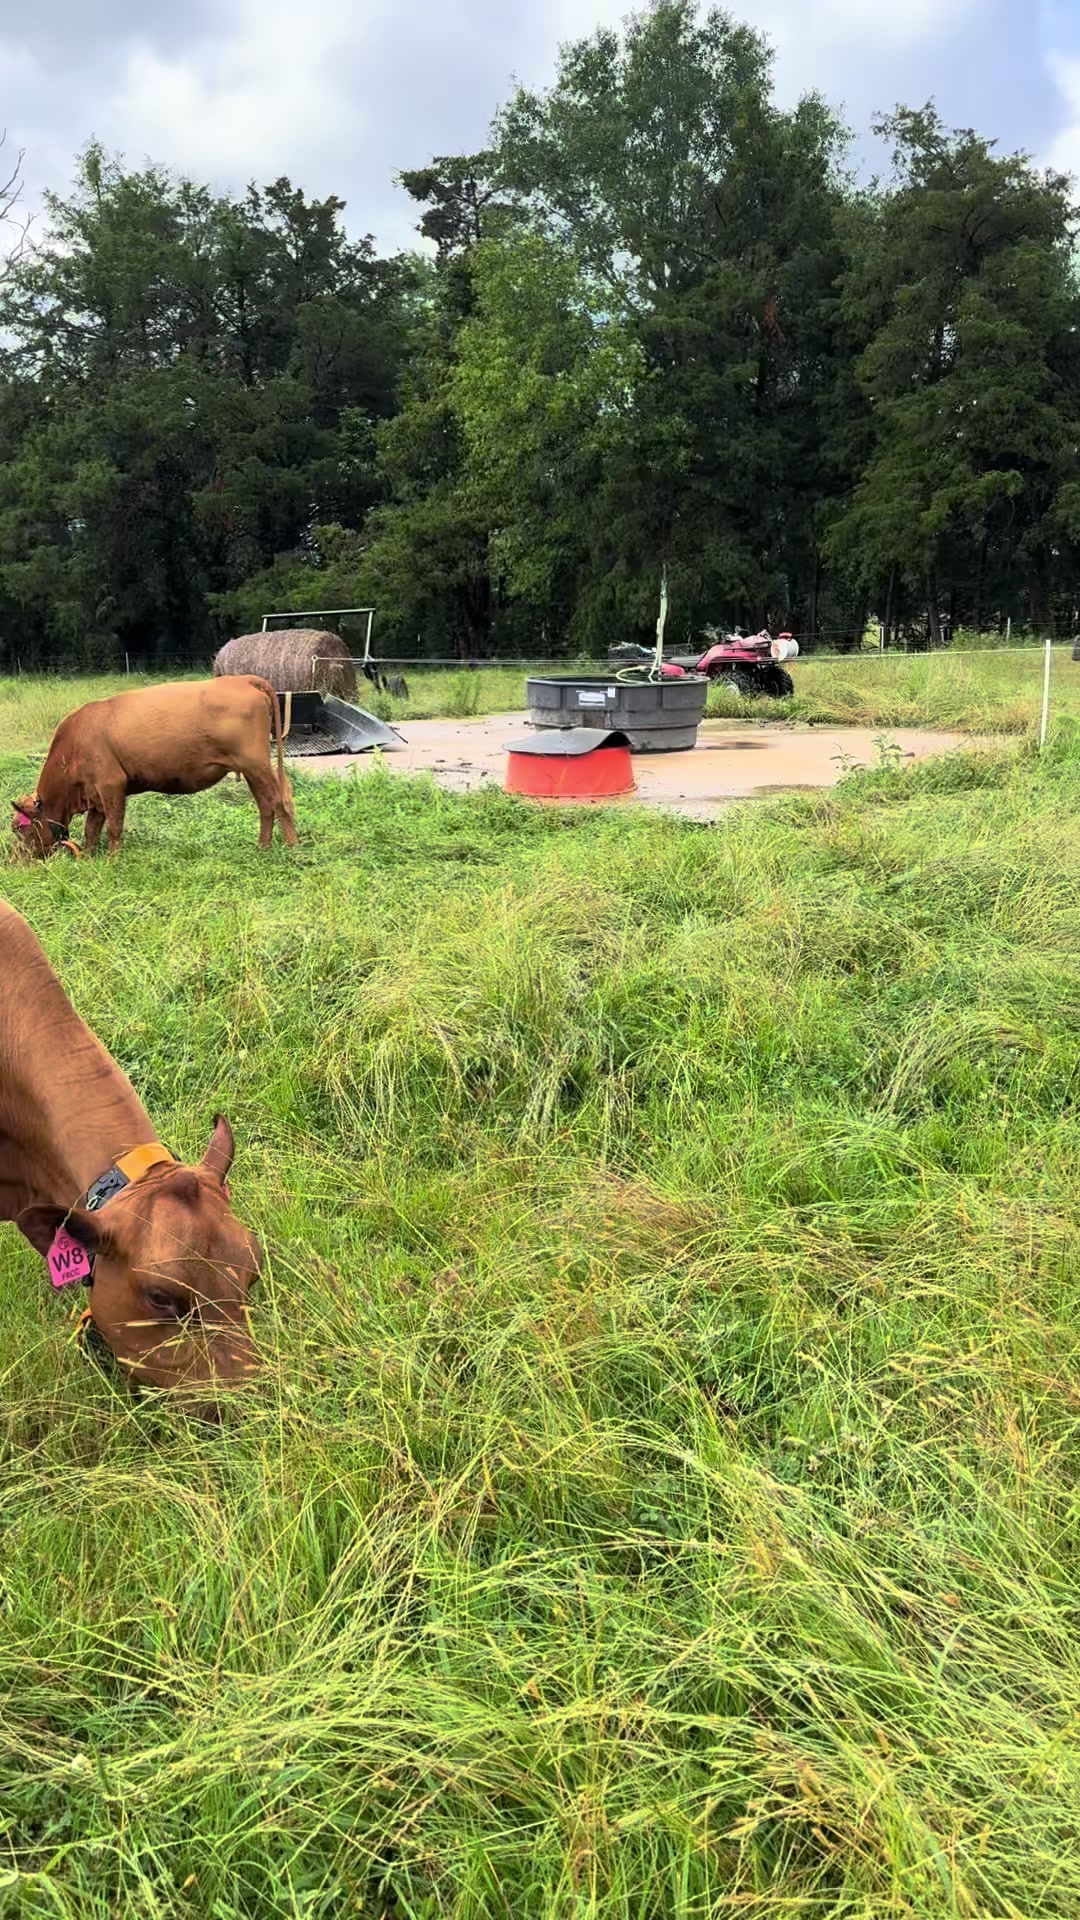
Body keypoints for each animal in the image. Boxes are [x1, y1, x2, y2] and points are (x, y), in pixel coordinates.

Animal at [11, 677, 299, 857]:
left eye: (19, 829)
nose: (17, 859)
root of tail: (241, 679)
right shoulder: (95, 793)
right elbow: (92, 829)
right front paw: (91, 857)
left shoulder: (110, 783)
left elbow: (113, 826)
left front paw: (113, 859)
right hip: (252, 770)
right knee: (265, 805)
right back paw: (263, 847)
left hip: (257, 765)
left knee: (280, 802)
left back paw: (292, 849)